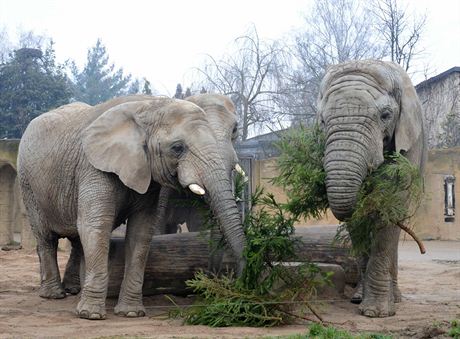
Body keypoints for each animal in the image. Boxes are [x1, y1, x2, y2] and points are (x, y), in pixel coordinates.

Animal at [16, 95, 246, 322]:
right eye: (177, 148)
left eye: (235, 130)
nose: (239, 282)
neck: (149, 106)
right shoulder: (93, 167)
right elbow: (96, 225)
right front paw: (90, 315)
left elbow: (141, 232)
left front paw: (131, 313)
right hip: (28, 185)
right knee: (46, 237)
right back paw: (53, 295)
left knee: (76, 239)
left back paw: (73, 289)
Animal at [318, 60, 426, 318]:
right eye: (323, 122)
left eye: (385, 115)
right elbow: (358, 222)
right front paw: (364, 303)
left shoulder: (410, 143)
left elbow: (392, 207)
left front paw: (376, 313)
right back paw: (359, 296)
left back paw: (395, 299)